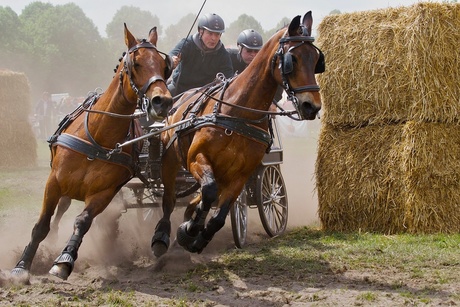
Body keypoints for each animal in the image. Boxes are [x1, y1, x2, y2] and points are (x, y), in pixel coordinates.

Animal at [13, 25, 174, 282]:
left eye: (163, 65)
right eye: (136, 63)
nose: (163, 102)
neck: (98, 138)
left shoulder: (104, 192)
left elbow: (82, 222)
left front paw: (64, 260)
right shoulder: (54, 181)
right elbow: (41, 226)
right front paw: (22, 265)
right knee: (62, 207)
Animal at [151, 11, 324, 258]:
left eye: (317, 59)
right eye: (293, 59)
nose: (312, 106)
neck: (238, 113)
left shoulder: (240, 175)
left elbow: (219, 215)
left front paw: (194, 237)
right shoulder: (197, 158)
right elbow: (208, 192)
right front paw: (189, 230)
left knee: (197, 199)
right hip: (170, 160)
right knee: (169, 199)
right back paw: (162, 236)